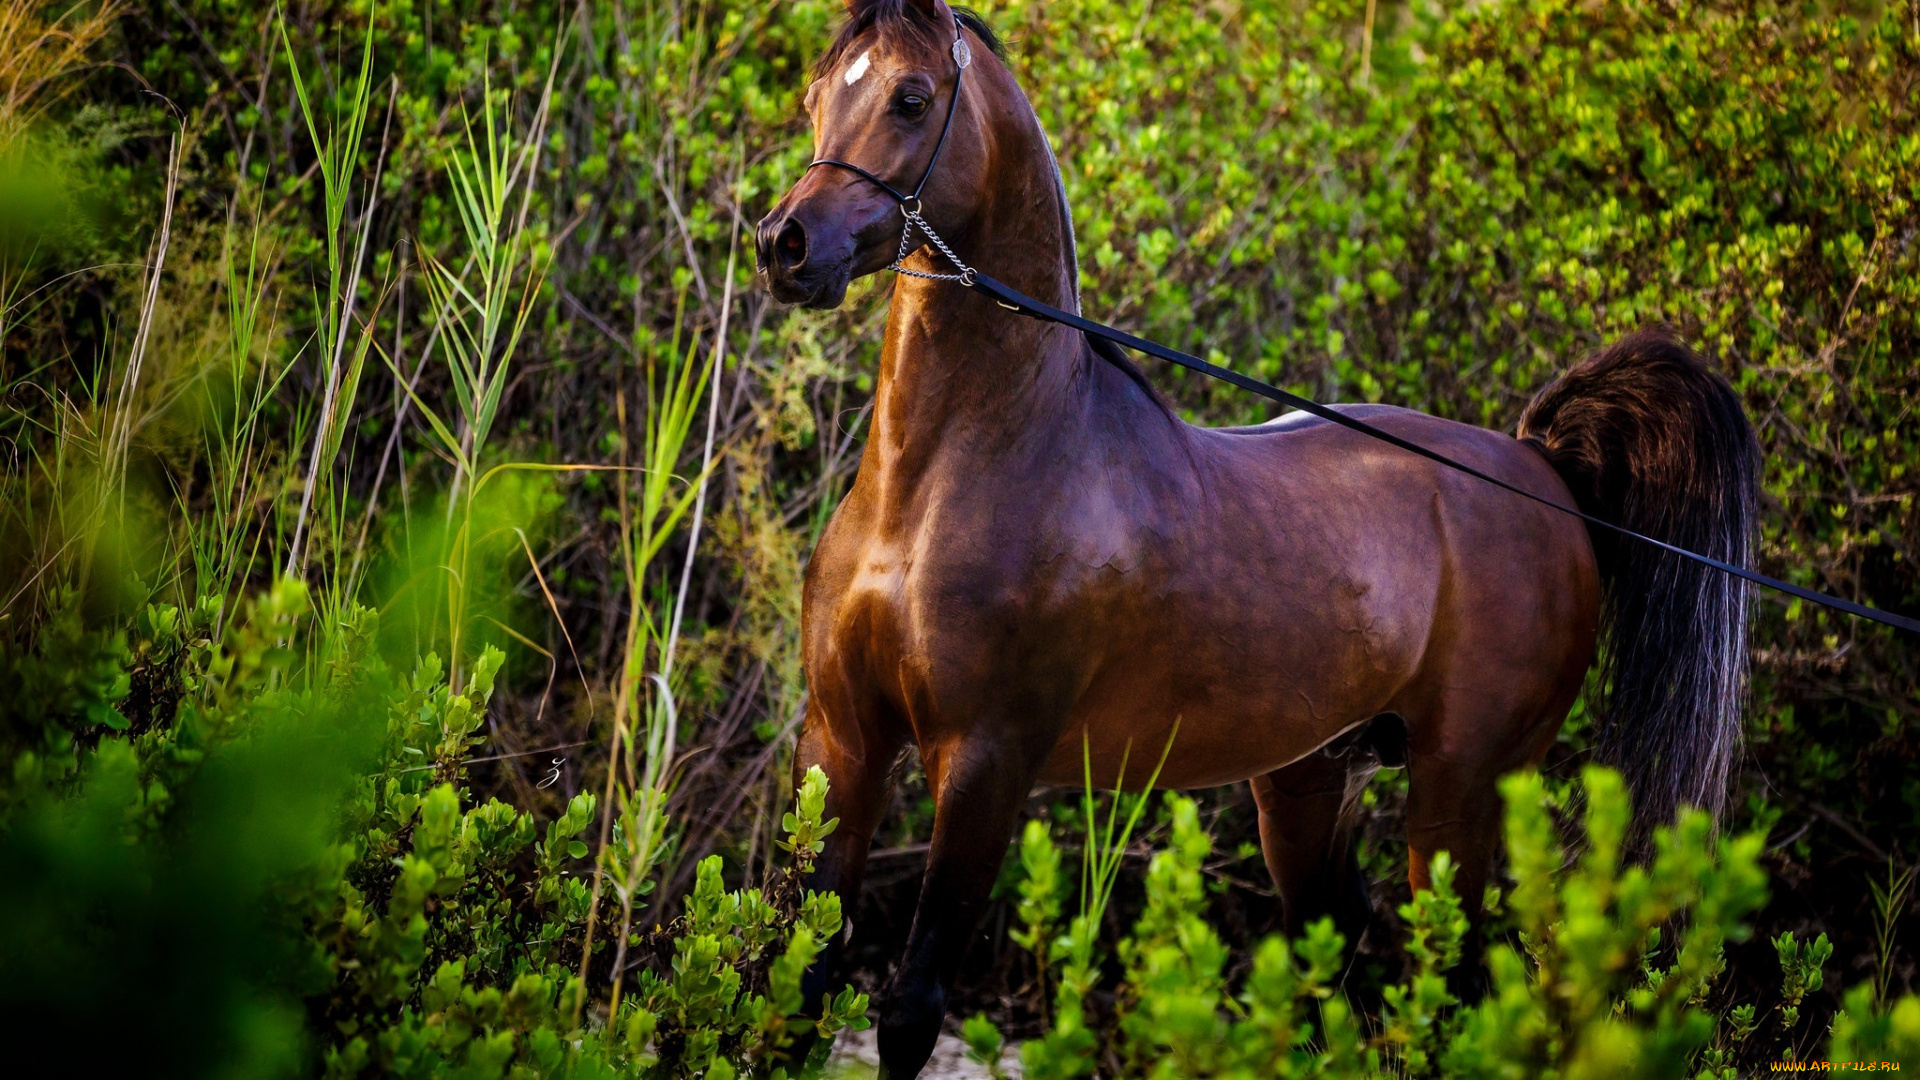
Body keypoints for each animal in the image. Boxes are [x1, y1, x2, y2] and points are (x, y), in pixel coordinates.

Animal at [748, 4, 1758, 1068]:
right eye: (815, 96)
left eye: (910, 96)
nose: (784, 244)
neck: (940, 484)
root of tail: (1541, 466)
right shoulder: (844, 744)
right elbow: (799, 988)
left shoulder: (984, 763)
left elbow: (908, 1010)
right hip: (1308, 786)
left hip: (1462, 791)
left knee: (1464, 983)